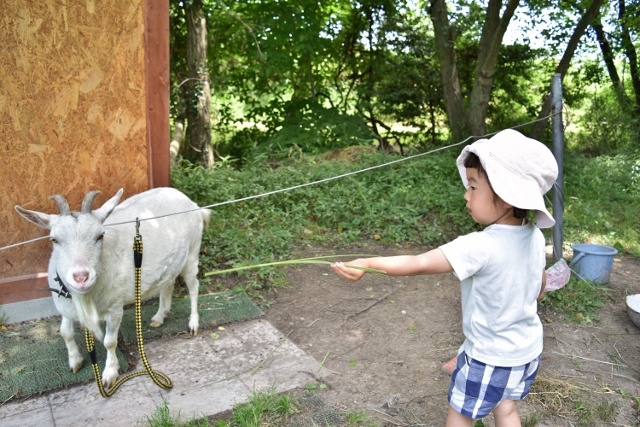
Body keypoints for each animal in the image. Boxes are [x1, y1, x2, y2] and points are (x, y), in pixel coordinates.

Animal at [15, 189, 210, 390]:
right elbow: (65, 332)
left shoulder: (115, 308)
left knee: (194, 287)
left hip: (192, 253)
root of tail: (192, 204)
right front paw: (75, 362)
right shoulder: (65, 307)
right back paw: (159, 317)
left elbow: (110, 342)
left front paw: (109, 374)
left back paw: (193, 324)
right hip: (171, 263)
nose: (81, 277)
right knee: (167, 284)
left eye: (100, 236)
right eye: (54, 239)